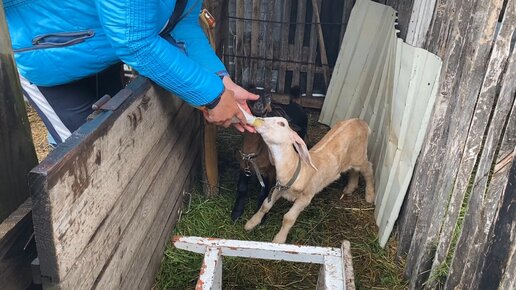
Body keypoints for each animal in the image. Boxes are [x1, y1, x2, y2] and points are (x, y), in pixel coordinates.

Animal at [246, 116, 374, 244]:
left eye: (282, 123)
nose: (258, 119)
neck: (296, 169)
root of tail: (360, 121)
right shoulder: (279, 187)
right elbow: (265, 205)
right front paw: (251, 223)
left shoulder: (305, 198)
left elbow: (288, 218)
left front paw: (279, 240)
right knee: (354, 171)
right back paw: (350, 188)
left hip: (359, 156)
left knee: (368, 170)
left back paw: (369, 195)